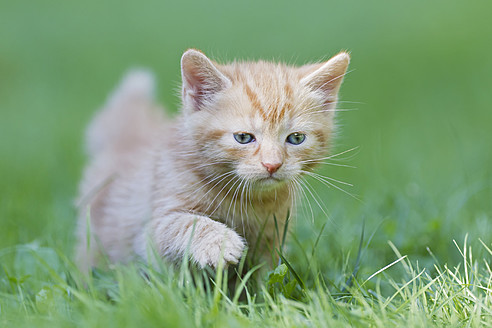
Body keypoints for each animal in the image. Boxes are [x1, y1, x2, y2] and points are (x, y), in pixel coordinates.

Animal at [75, 48, 348, 270]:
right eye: (243, 137)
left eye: (296, 138)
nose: (273, 164)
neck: (247, 200)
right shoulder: (151, 231)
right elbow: (186, 223)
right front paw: (220, 242)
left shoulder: (272, 237)